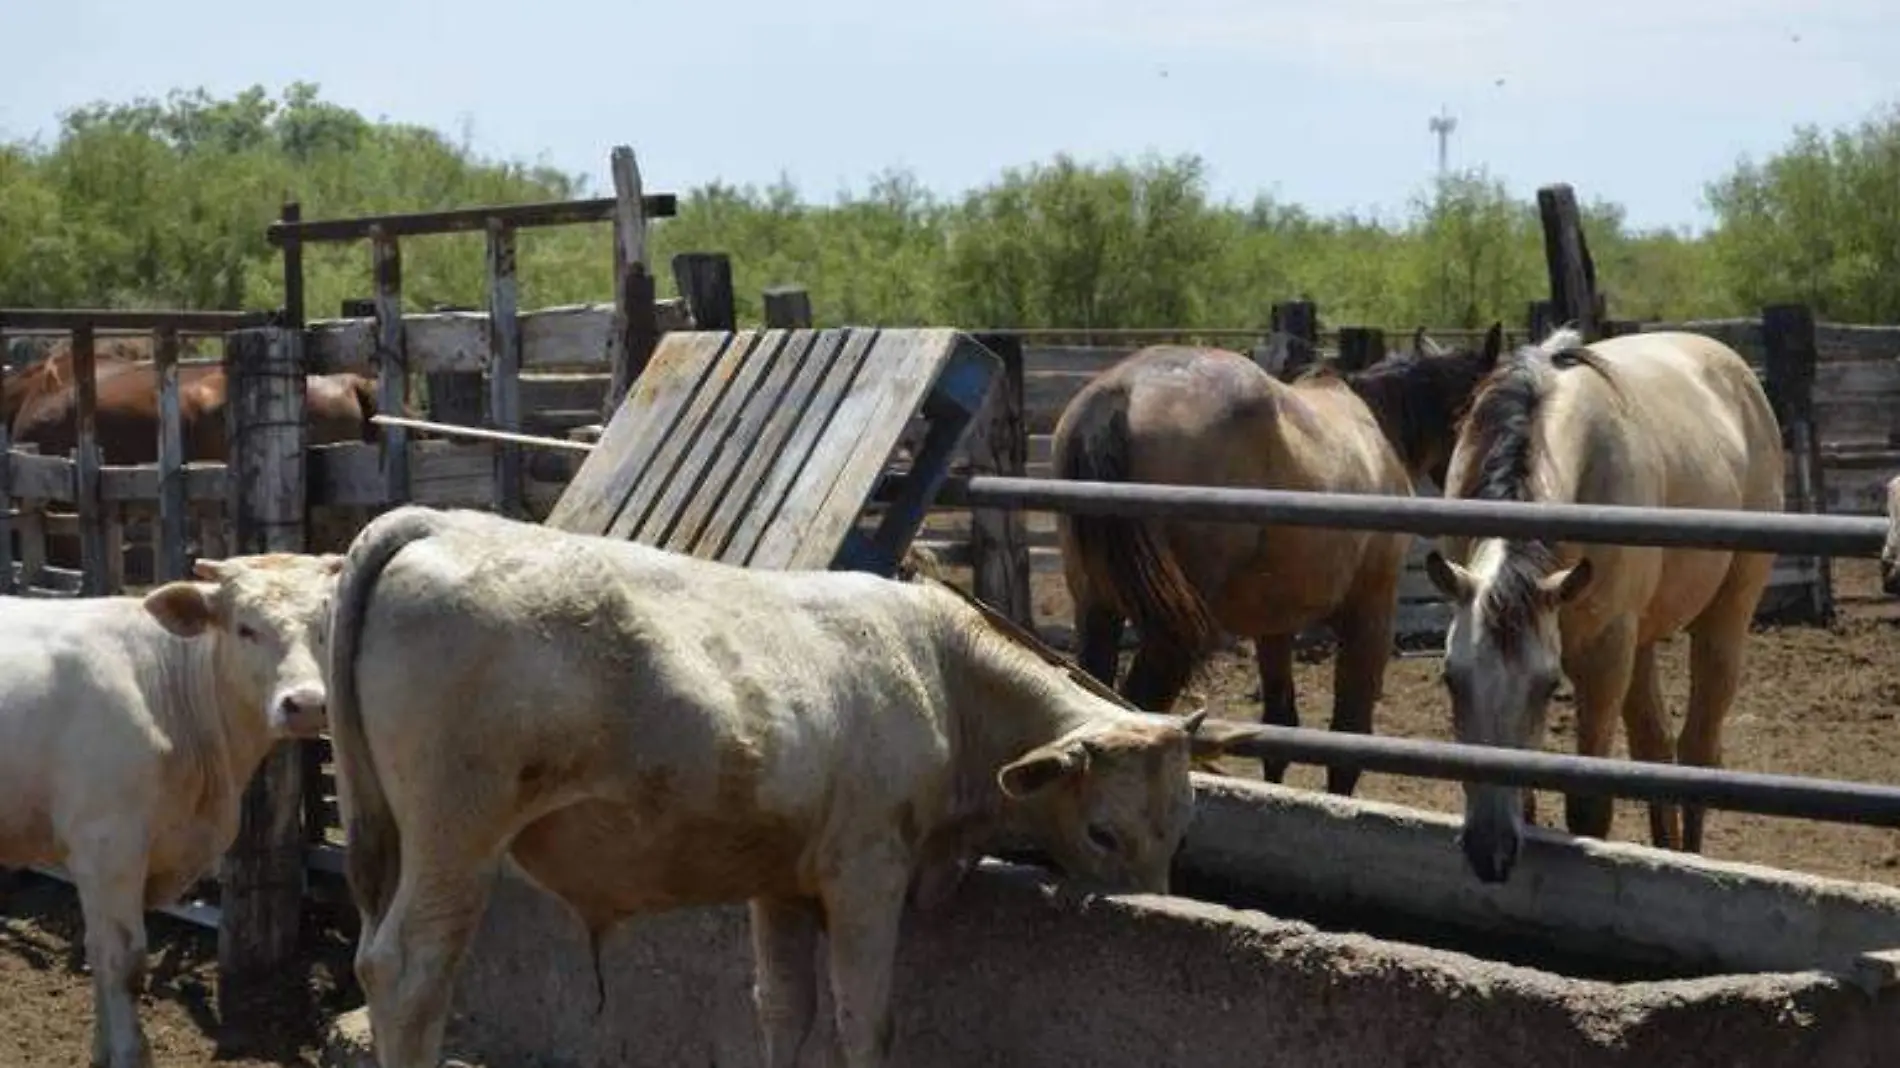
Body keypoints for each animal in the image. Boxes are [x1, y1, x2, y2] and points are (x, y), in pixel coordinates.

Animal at [0, 547, 342, 1064]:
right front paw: (128, 1054)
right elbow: (123, 961)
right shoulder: (107, 847)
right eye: (245, 627)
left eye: (324, 624)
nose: (305, 705)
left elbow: (98, 951)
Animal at [326, 505, 1261, 1064]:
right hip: (458, 837)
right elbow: (863, 1020)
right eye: (1104, 832)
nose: (1156, 898)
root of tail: (434, 522)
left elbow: (782, 1006)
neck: (943, 672)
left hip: (391, 838)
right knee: (411, 972)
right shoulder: (866, 875)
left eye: (1182, 827)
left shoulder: (776, 881)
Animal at [1056, 319, 1497, 794]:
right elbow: (1348, 736)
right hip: (1169, 634)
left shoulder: (1274, 627)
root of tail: (1122, 391)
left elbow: (1280, 730)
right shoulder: (1370, 614)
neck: (1377, 427)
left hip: (1097, 610)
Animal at [1428, 324, 1778, 881]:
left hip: (1724, 618)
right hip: (1641, 641)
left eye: (1550, 686)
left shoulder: (1602, 657)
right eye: (1450, 678)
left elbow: (1590, 809)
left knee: (1698, 749)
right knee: (1655, 746)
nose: (1489, 852)